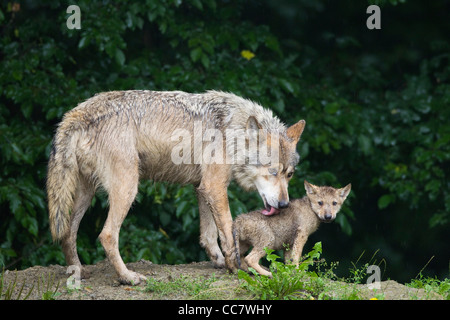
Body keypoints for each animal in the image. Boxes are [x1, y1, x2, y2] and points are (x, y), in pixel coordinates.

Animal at [46, 90, 306, 284]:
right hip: (128, 190)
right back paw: (128, 277)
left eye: (289, 174)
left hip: (85, 195)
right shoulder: (215, 187)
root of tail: (77, 113)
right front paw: (235, 266)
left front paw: (219, 261)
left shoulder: (202, 188)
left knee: (68, 232)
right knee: (107, 235)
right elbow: (227, 230)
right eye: (272, 172)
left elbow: (209, 235)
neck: (231, 131)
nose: (284, 204)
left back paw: (77, 272)